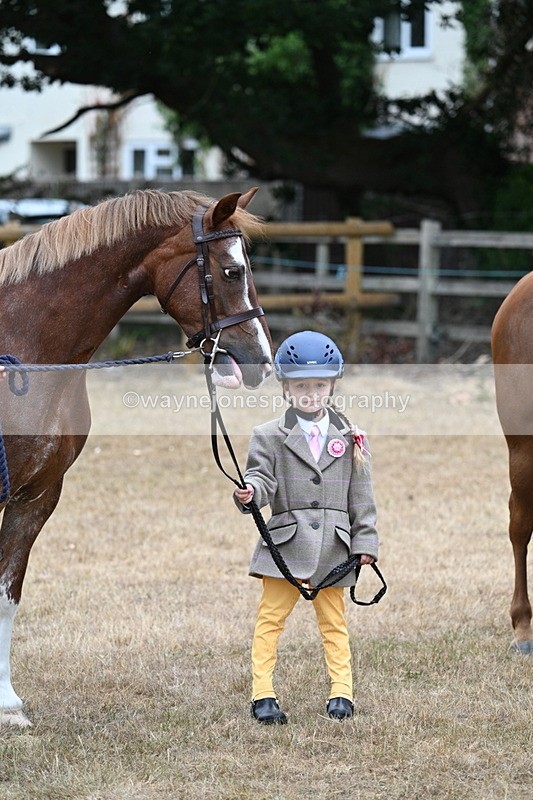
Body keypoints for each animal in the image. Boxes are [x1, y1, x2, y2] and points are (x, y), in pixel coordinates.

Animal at [0, 187, 272, 726]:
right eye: (232, 271)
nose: (262, 360)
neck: (25, 348)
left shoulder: (35, 497)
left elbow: (7, 596)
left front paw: (7, 705)